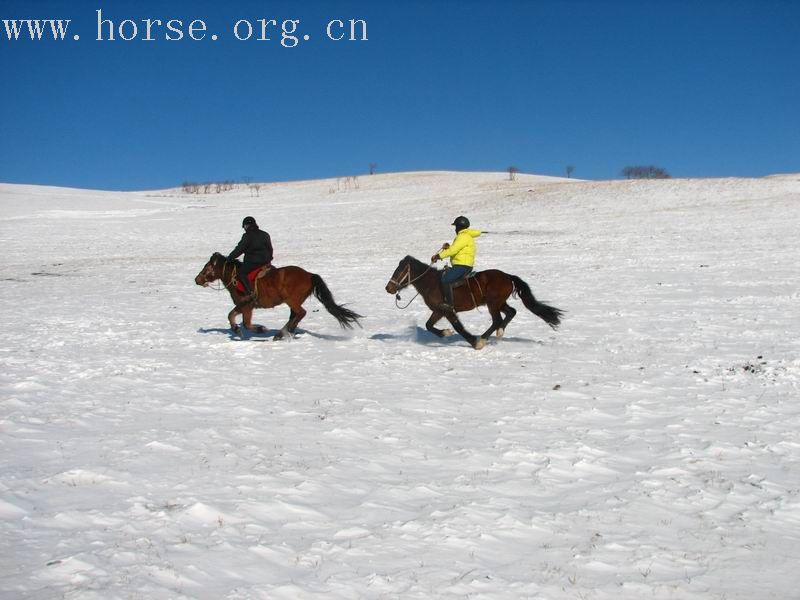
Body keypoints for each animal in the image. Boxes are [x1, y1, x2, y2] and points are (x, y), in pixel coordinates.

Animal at [197, 252, 362, 340]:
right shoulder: (241, 305)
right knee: (295, 315)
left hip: (291, 300)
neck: (235, 277)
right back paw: (284, 333)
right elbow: (231, 315)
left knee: (301, 313)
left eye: (206, 268)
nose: (197, 279)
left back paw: (282, 333)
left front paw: (260, 329)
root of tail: (309, 275)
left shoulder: (247, 305)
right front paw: (236, 329)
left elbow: (245, 323)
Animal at [386, 255, 564, 350]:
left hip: (493, 304)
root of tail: (508, 276)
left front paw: (474, 342)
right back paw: (499, 332)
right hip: (498, 303)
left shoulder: (447, 310)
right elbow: (429, 325)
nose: (389, 288)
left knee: (497, 320)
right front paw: (445, 333)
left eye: (399, 271)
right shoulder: (438, 310)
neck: (432, 283)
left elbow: (458, 326)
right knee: (511, 312)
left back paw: (483, 338)